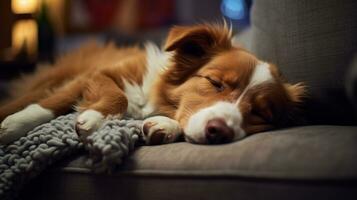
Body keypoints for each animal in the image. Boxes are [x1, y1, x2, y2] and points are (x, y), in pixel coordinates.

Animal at [0, 23, 304, 145]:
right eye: (215, 83)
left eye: (261, 113)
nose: (219, 131)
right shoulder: (97, 74)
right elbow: (115, 96)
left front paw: (164, 127)